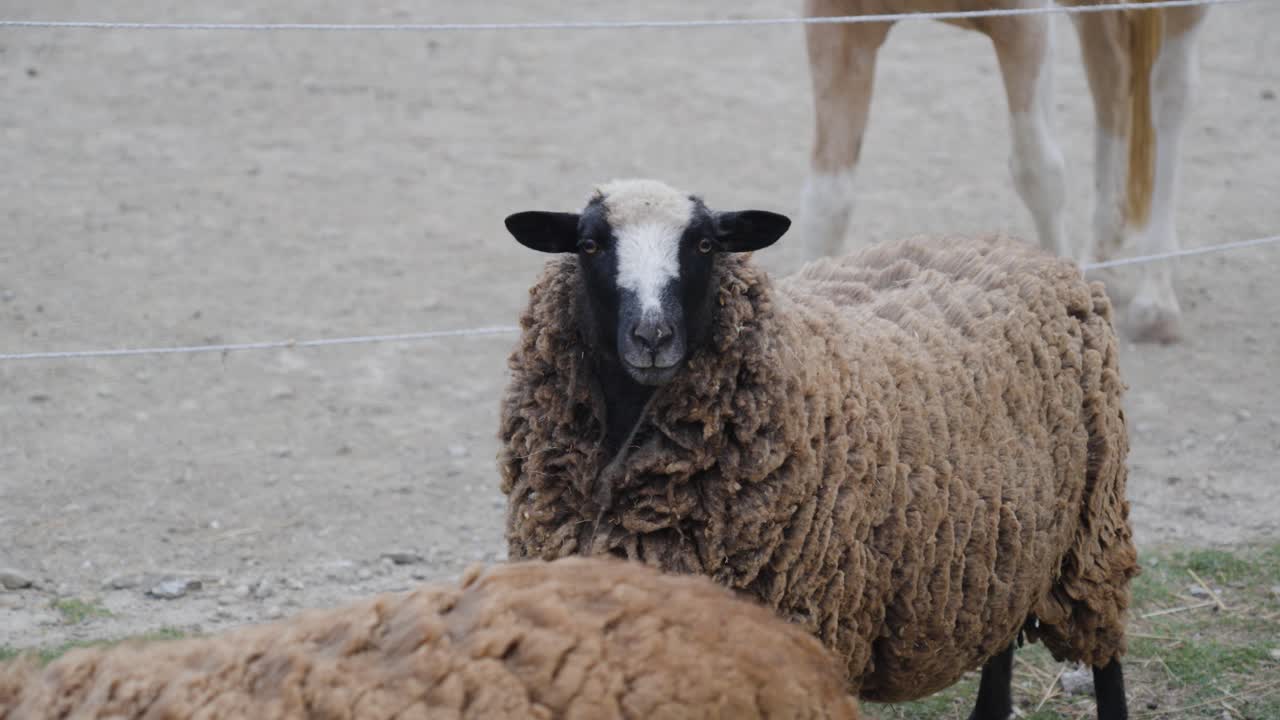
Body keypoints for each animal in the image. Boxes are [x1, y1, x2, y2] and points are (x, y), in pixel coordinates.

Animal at [500, 179, 1139, 720]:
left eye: (705, 244)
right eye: (589, 245)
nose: (652, 336)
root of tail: (1019, 245)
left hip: (1093, 530)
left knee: (1107, 657)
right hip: (1004, 540)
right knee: (1001, 635)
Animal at [798, 0, 1209, 343]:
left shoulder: (1023, 24)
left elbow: (1038, 172)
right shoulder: (838, 28)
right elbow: (828, 201)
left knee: (1169, 95)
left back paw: (1156, 296)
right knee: (1111, 76)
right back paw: (1102, 254)